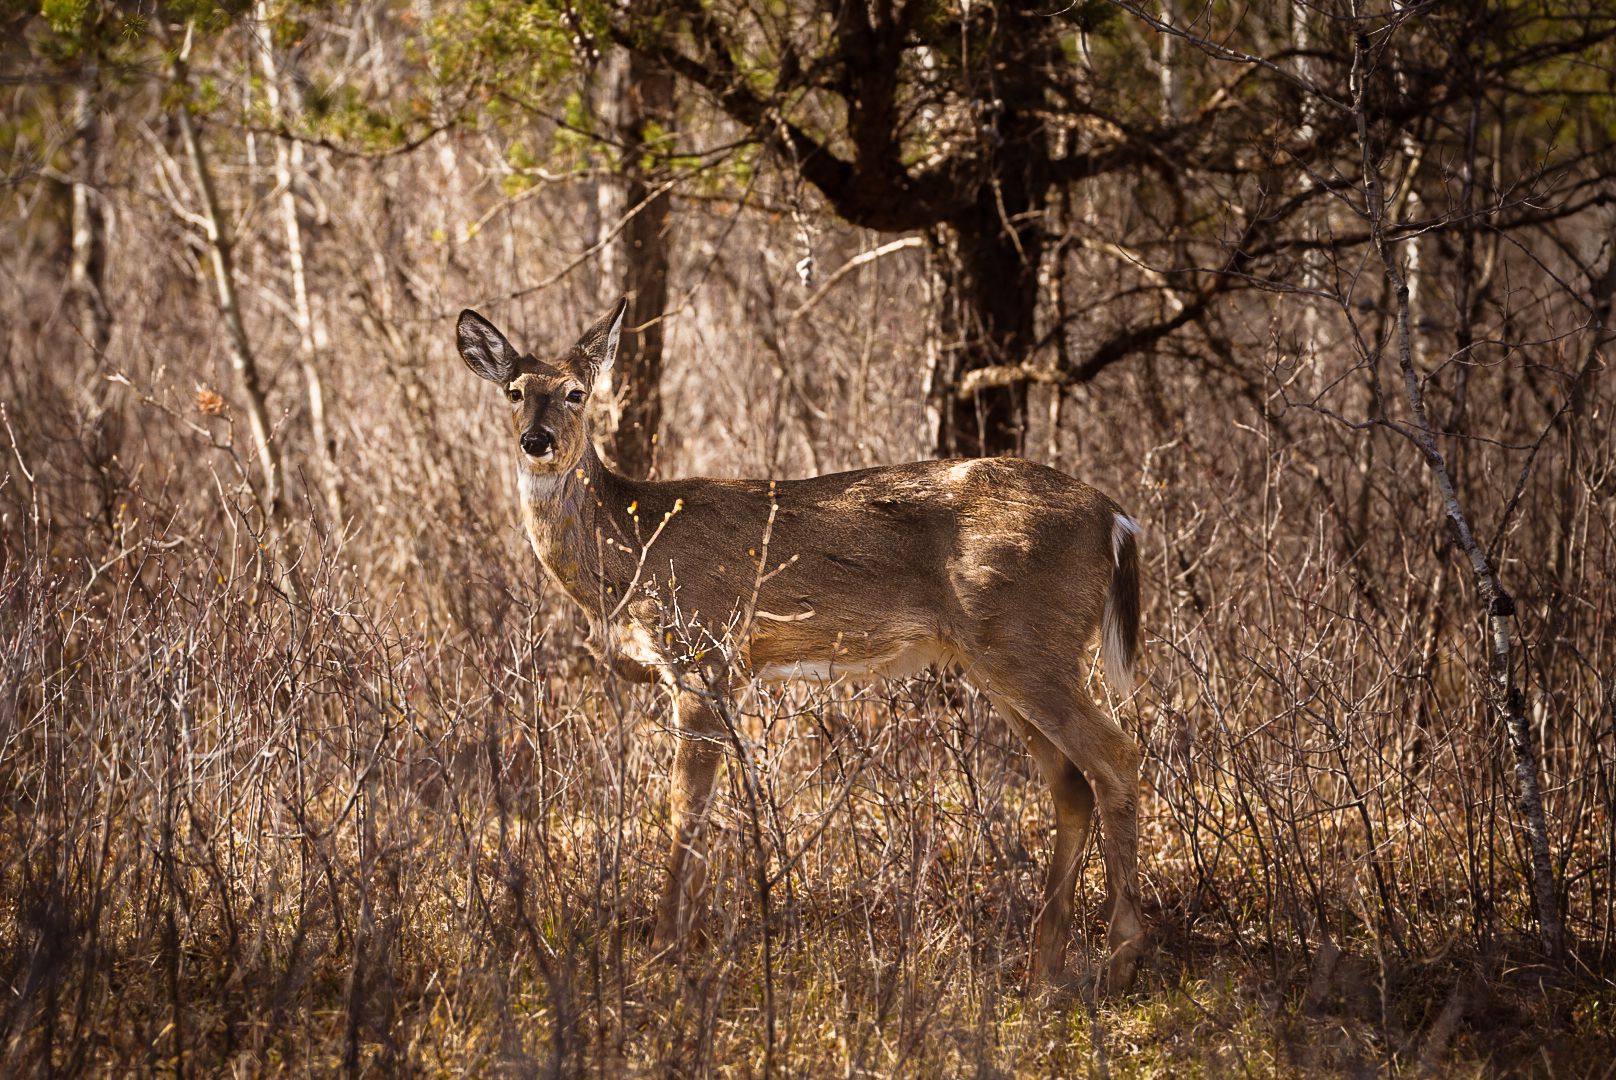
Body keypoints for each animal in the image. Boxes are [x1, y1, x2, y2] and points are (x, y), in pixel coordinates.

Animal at [455, 299, 1147, 993]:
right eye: (515, 392)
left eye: (577, 392)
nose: (536, 441)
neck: (631, 552)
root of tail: (1116, 518)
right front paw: (689, 939)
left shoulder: (705, 654)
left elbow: (686, 805)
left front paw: (665, 949)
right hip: (997, 656)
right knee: (1072, 781)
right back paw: (1044, 969)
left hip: (1027, 641)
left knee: (1117, 754)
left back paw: (1122, 960)